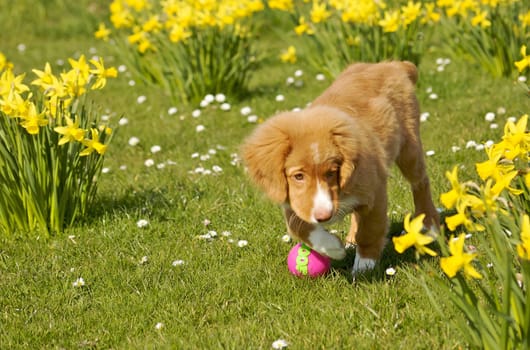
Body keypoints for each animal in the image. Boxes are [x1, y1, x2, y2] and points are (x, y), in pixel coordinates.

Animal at [240, 61, 438, 274]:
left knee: (421, 183)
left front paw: (365, 265)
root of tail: (389, 64)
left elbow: (370, 229)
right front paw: (332, 247)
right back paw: (350, 240)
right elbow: (298, 227)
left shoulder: (375, 191)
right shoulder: (294, 201)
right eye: (298, 176)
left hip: (409, 147)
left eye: (331, 172)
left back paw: (430, 225)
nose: (324, 216)